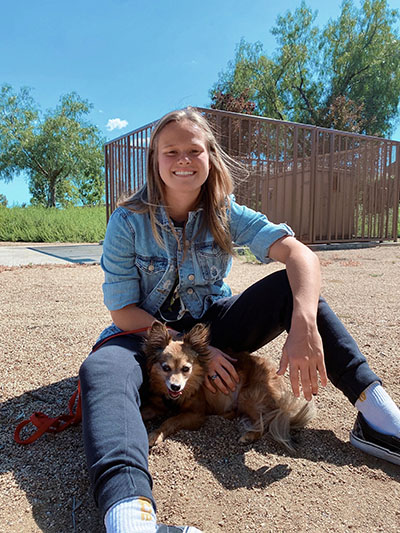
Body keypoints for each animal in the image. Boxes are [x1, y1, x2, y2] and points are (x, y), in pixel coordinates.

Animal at [141, 320, 316, 448]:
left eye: (186, 369)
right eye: (166, 368)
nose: (175, 387)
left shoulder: (195, 415)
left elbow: (170, 420)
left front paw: (155, 435)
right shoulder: (157, 406)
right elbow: (144, 411)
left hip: (247, 396)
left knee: (265, 421)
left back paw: (249, 435)